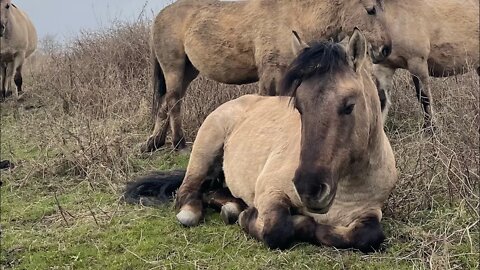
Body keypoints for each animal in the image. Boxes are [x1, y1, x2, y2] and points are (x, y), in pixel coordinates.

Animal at [124, 30, 398, 252]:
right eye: (298, 106)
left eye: (349, 106)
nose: (309, 189)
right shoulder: (271, 191)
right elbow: (277, 229)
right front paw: (253, 219)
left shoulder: (370, 212)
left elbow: (369, 236)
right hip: (204, 150)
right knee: (187, 190)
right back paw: (195, 212)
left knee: (212, 191)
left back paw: (232, 208)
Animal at [141, 0, 392, 152]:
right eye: (371, 9)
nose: (386, 49)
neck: (296, 16)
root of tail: (159, 18)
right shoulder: (270, 75)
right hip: (174, 68)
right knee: (173, 101)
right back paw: (179, 144)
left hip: (187, 71)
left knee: (166, 103)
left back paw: (155, 142)